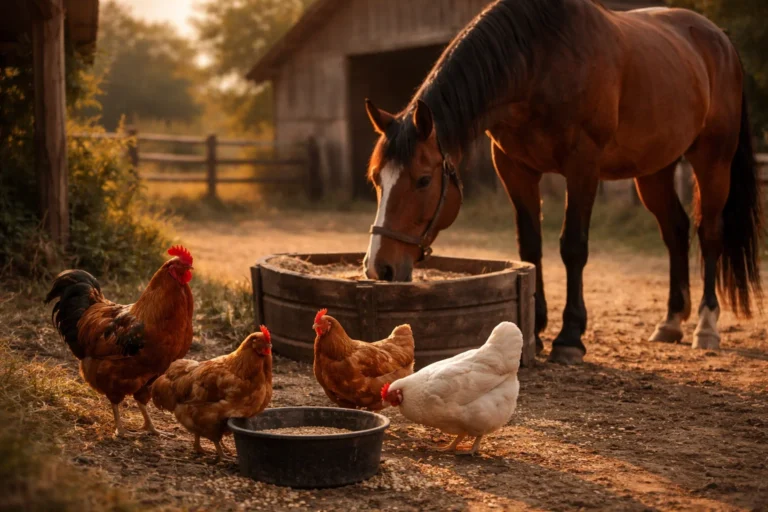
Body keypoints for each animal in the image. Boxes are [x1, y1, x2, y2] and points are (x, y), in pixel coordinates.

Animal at [362, 0, 763, 364]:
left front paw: (569, 337)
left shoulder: (582, 166)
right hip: (654, 170)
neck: (539, 61)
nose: (380, 268)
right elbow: (530, 247)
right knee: (676, 231)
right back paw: (671, 321)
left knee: (709, 233)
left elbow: (573, 247)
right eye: (377, 179)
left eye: (423, 180)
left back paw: (706, 326)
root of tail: (719, 39)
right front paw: (536, 332)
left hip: (713, 160)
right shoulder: (515, 168)